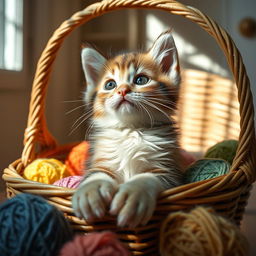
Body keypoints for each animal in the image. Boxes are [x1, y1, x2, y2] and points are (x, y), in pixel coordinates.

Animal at [72, 30, 184, 228]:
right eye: (110, 84)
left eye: (141, 80)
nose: (122, 90)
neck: (130, 130)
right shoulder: (100, 160)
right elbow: (97, 174)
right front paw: (90, 191)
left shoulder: (170, 170)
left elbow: (146, 178)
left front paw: (133, 195)